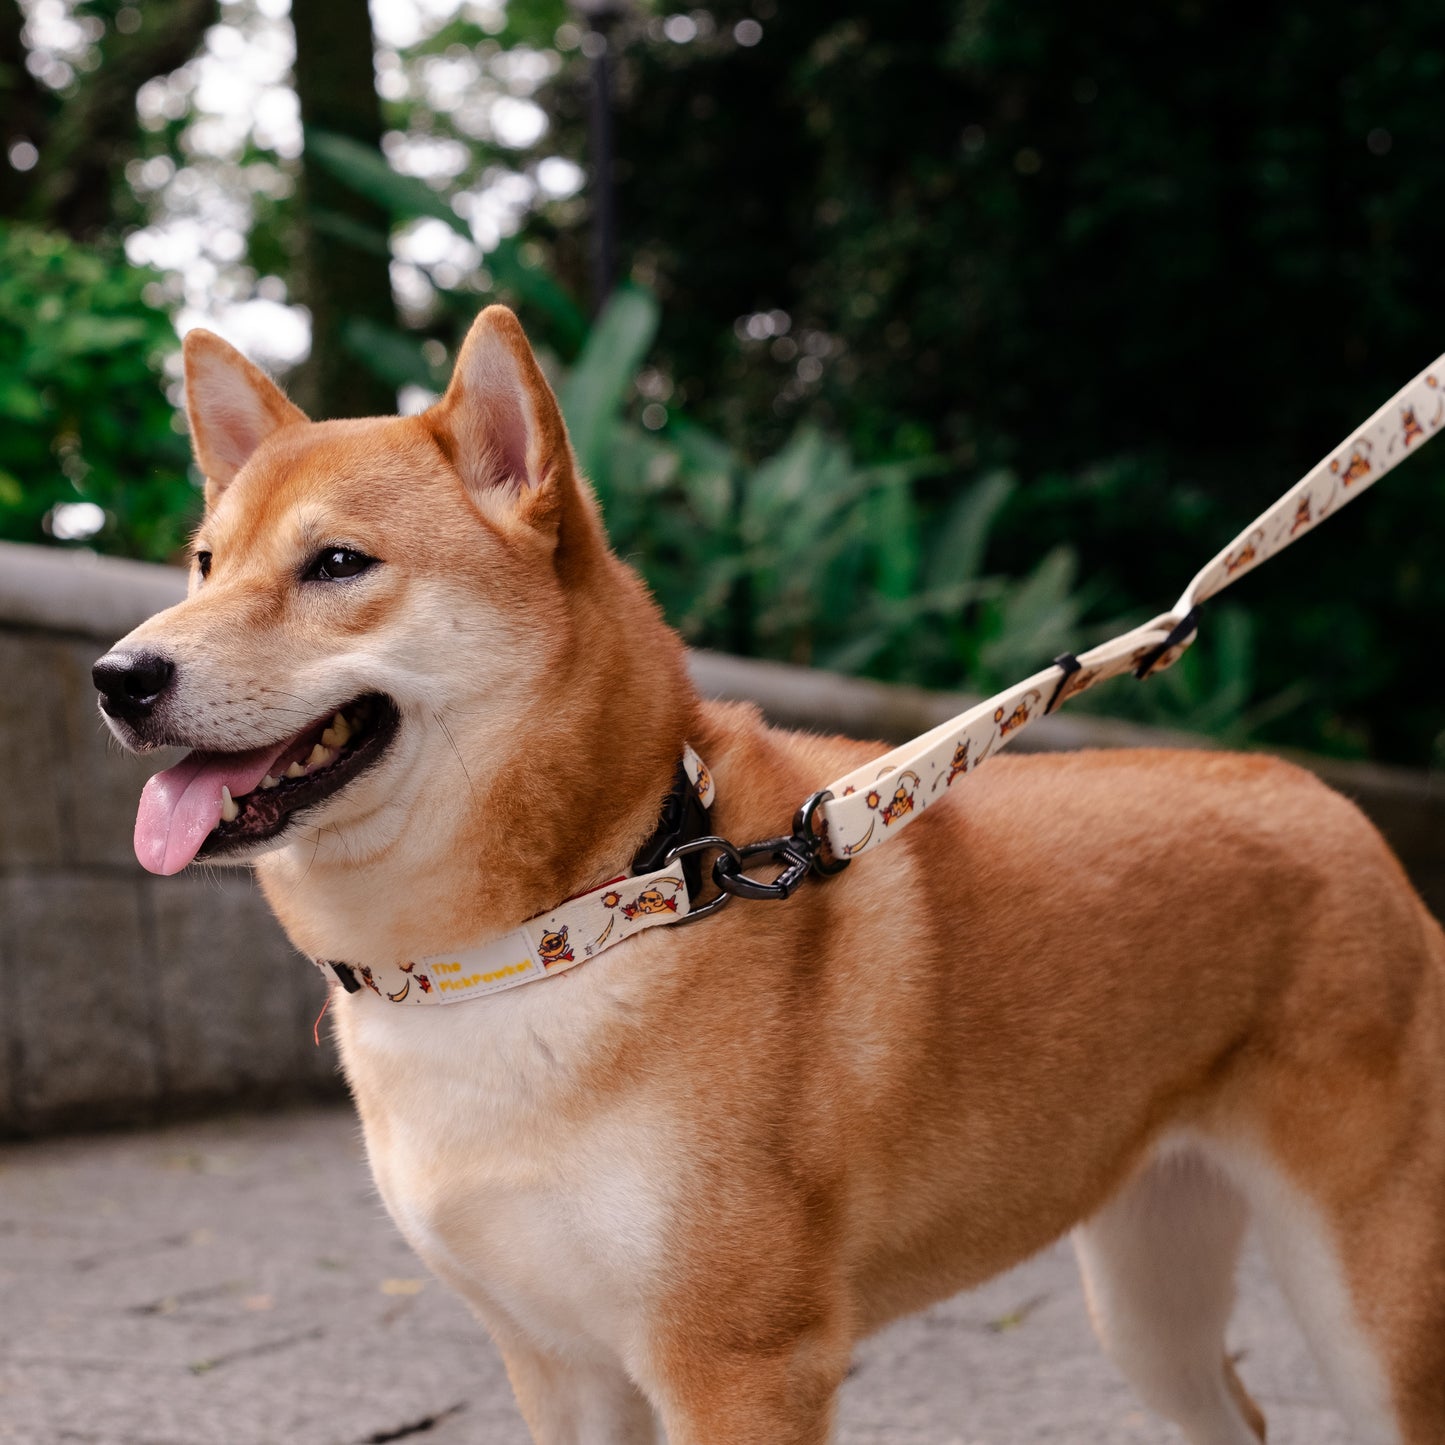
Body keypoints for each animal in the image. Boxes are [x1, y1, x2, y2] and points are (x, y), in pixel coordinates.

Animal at [93, 307, 1445, 1445]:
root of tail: (1316, 794)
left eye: (335, 564)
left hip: (1363, 1301)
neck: (575, 918)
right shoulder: (557, 1363)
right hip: (1146, 1297)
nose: (119, 675)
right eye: (204, 564)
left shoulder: (738, 1362)